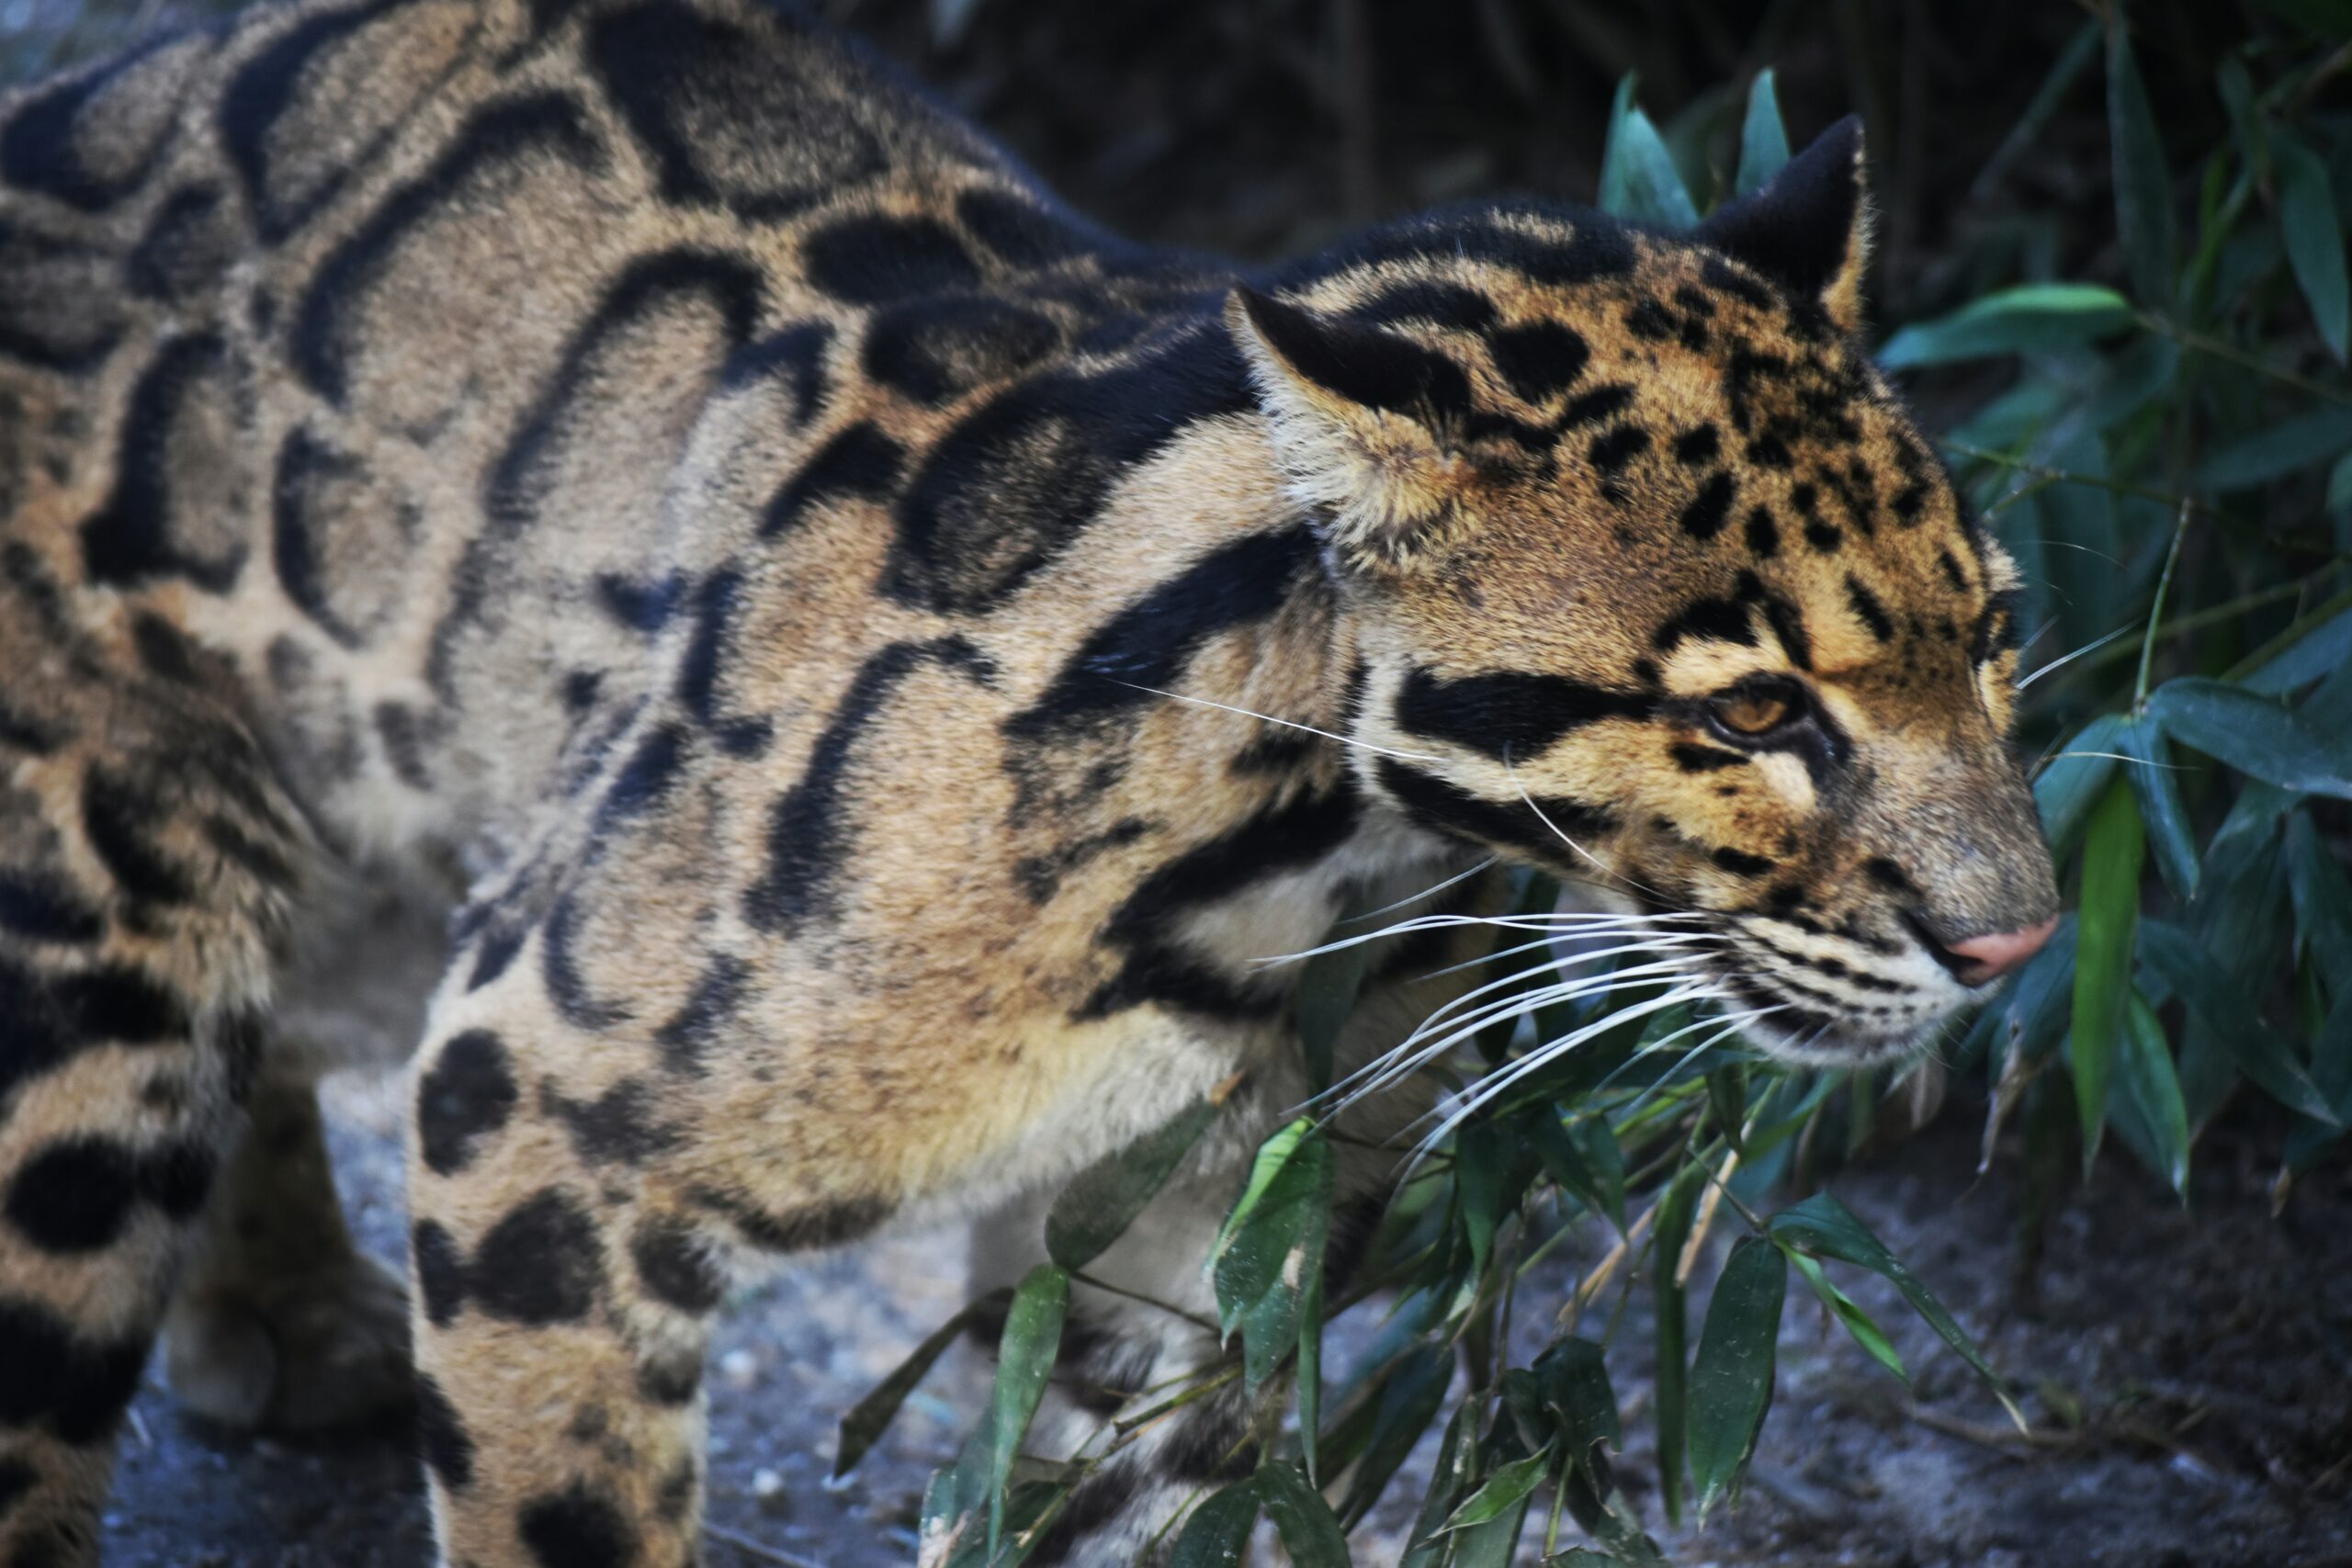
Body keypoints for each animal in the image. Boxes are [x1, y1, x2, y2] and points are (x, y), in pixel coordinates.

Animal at [0, 0, 2061, 1561]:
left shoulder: (1206, 1242)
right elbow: (566, 1513)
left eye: (1990, 630)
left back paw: (287, 1307)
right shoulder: (540, 1089)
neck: (1297, 872)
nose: (2022, 944)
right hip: (94, 963)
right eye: (1752, 712)